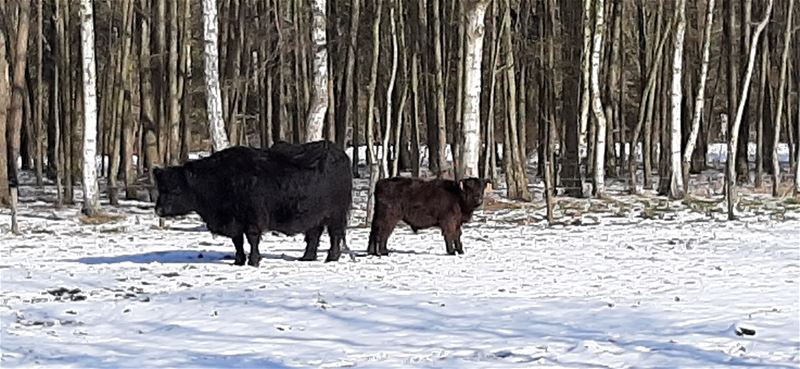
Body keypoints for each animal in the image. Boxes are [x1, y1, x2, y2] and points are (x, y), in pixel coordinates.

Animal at [155, 140, 354, 264]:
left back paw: (331, 258)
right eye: (160, 188)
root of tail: (338, 152)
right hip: (314, 214)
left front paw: (253, 261)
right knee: (314, 234)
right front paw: (238, 261)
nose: (158, 210)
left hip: (336, 213)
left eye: (175, 189)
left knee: (335, 235)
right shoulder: (235, 221)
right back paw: (307, 257)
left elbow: (252, 240)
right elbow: (237, 241)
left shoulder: (253, 218)